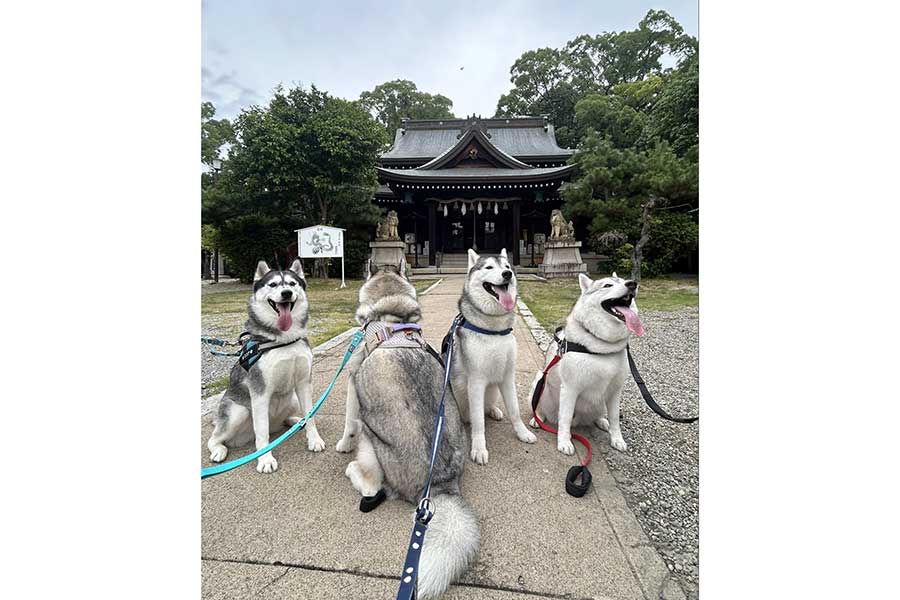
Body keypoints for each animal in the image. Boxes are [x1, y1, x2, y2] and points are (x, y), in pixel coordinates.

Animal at [206, 258, 326, 474]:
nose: (286, 293)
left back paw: (296, 421)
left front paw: (314, 439)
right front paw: (265, 459)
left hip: (292, 399)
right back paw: (219, 450)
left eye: (292, 284)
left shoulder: (304, 383)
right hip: (238, 412)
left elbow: (311, 415)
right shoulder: (260, 392)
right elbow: (262, 432)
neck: (284, 340)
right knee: (215, 438)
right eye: (273, 284)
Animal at [340, 258, 478, 600]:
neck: (391, 316)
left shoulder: (352, 380)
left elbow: (348, 422)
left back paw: (353, 469)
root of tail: (438, 484)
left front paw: (342, 444)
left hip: (371, 438)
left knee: (374, 486)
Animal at [454, 248, 536, 464]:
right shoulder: (476, 382)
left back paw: (493, 410)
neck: (493, 330)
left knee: (486, 406)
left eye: (507, 267)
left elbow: (515, 411)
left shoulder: (507, 377)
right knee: (472, 415)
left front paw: (522, 433)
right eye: (489, 267)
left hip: (493, 390)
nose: (507, 274)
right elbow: (478, 422)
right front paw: (479, 448)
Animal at [532, 274, 644, 452]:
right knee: (539, 405)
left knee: (599, 415)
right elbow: (565, 417)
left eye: (623, 280)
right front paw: (564, 442)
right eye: (607, 285)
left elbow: (614, 418)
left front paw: (617, 439)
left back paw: (601, 421)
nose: (632, 284)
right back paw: (538, 418)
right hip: (540, 380)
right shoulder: (570, 388)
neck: (603, 346)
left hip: (600, 404)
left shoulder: (615, 391)